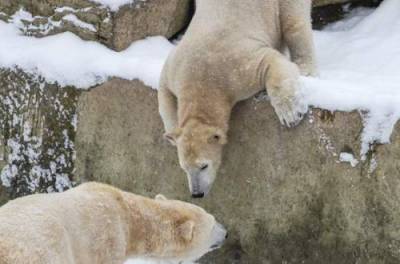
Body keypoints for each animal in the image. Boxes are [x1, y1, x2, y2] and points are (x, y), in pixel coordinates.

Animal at [158, 0, 318, 198]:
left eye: (204, 166)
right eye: (184, 168)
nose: (197, 193)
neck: (200, 79)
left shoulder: (234, 68)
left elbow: (270, 60)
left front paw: (291, 114)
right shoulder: (175, 68)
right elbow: (164, 94)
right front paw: (172, 135)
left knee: (294, 21)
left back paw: (307, 70)